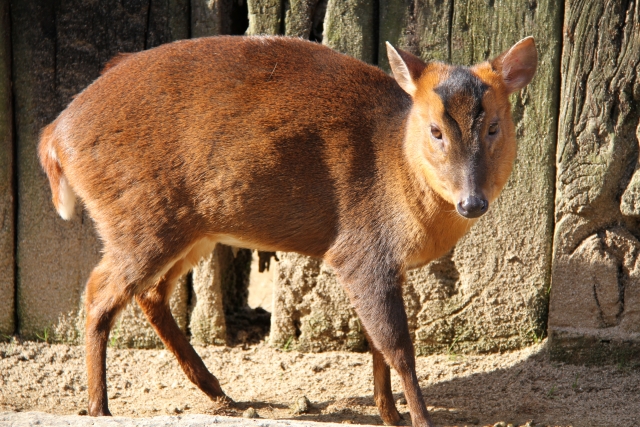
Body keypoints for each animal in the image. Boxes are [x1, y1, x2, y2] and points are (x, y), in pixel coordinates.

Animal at [38, 36, 536, 427]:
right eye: (435, 130)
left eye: (494, 126)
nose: (472, 202)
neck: (398, 169)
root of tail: (54, 135)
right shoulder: (361, 249)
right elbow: (397, 347)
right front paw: (419, 419)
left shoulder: (383, 266)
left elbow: (376, 345)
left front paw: (389, 415)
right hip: (139, 217)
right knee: (99, 292)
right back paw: (100, 408)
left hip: (189, 229)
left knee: (149, 294)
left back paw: (219, 392)